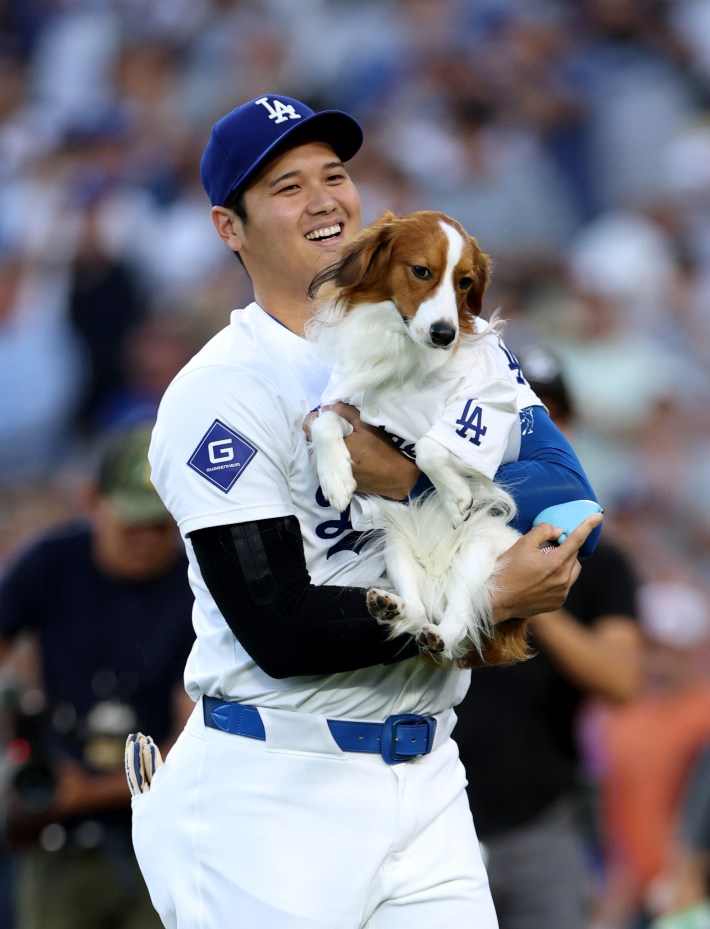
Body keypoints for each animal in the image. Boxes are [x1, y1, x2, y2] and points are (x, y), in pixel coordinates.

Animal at [308, 210, 536, 668]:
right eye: (421, 271)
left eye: (465, 282)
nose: (445, 334)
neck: (404, 355)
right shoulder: (349, 405)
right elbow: (324, 421)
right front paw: (336, 479)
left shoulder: (484, 406)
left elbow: (432, 445)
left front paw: (456, 496)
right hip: (397, 547)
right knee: (416, 610)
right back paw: (393, 607)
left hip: (480, 549)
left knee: (459, 618)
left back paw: (440, 635)